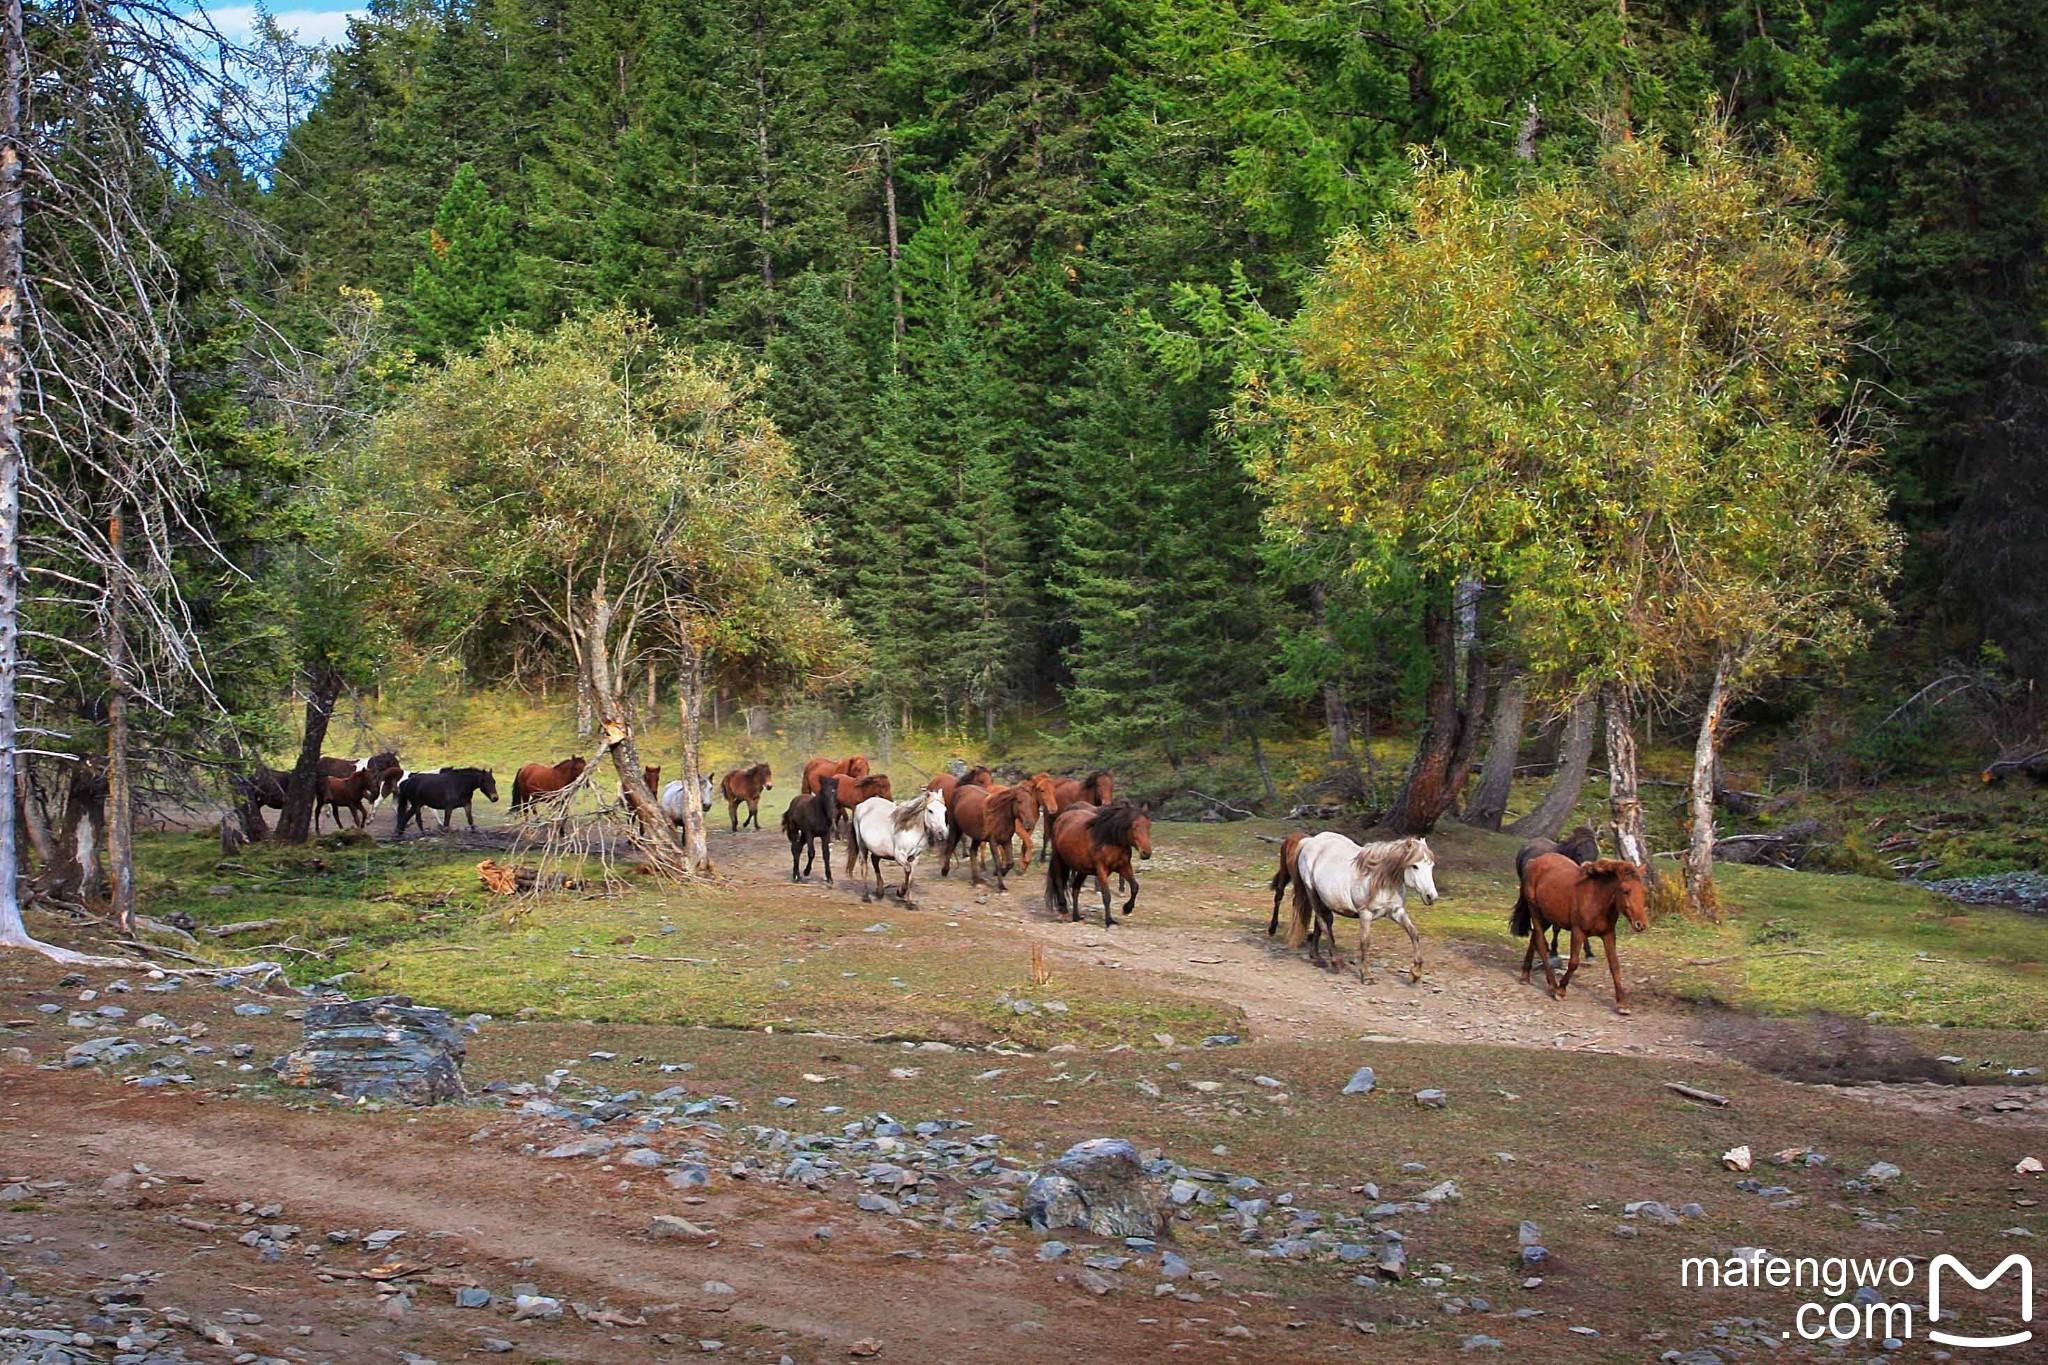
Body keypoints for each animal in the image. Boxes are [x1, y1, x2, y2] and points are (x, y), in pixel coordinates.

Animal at [1286, 834, 1449, 982]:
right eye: (1415, 866)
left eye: (1431, 865)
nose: (1431, 896)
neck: (1382, 880)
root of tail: (1310, 841)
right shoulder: (1365, 914)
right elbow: (1365, 942)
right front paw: (1366, 974)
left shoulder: (1397, 911)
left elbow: (1414, 934)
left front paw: (1416, 972)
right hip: (1312, 892)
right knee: (1322, 922)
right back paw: (1335, 962)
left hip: (1325, 899)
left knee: (1322, 923)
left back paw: (1316, 956)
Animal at [1515, 855, 1654, 1015]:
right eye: (1626, 891)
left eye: (1643, 891)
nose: (1641, 924)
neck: (1596, 899)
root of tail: (1533, 862)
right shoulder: (1578, 932)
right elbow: (1574, 962)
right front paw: (1561, 990)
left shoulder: (1608, 935)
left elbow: (1614, 965)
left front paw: (1622, 1003)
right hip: (1536, 913)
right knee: (1541, 944)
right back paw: (1552, 985)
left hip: (1547, 917)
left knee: (1534, 940)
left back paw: (1525, 976)